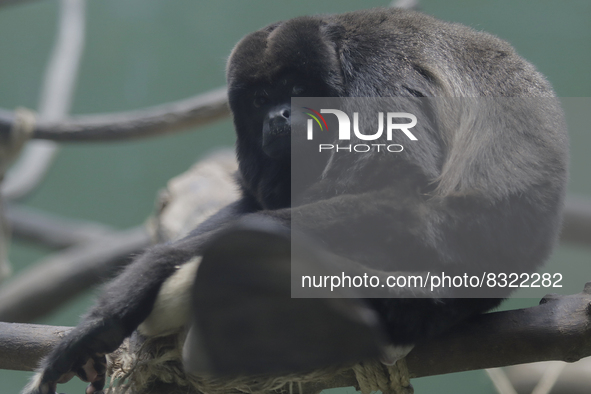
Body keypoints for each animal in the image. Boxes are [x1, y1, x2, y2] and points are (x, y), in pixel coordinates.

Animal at [24, 6, 568, 394]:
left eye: (296, 89)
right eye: (261, 99)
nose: (280, 116)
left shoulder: (381, 68)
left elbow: (399, 186)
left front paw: (142, 279)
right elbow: (253, 202)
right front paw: (110, 317)